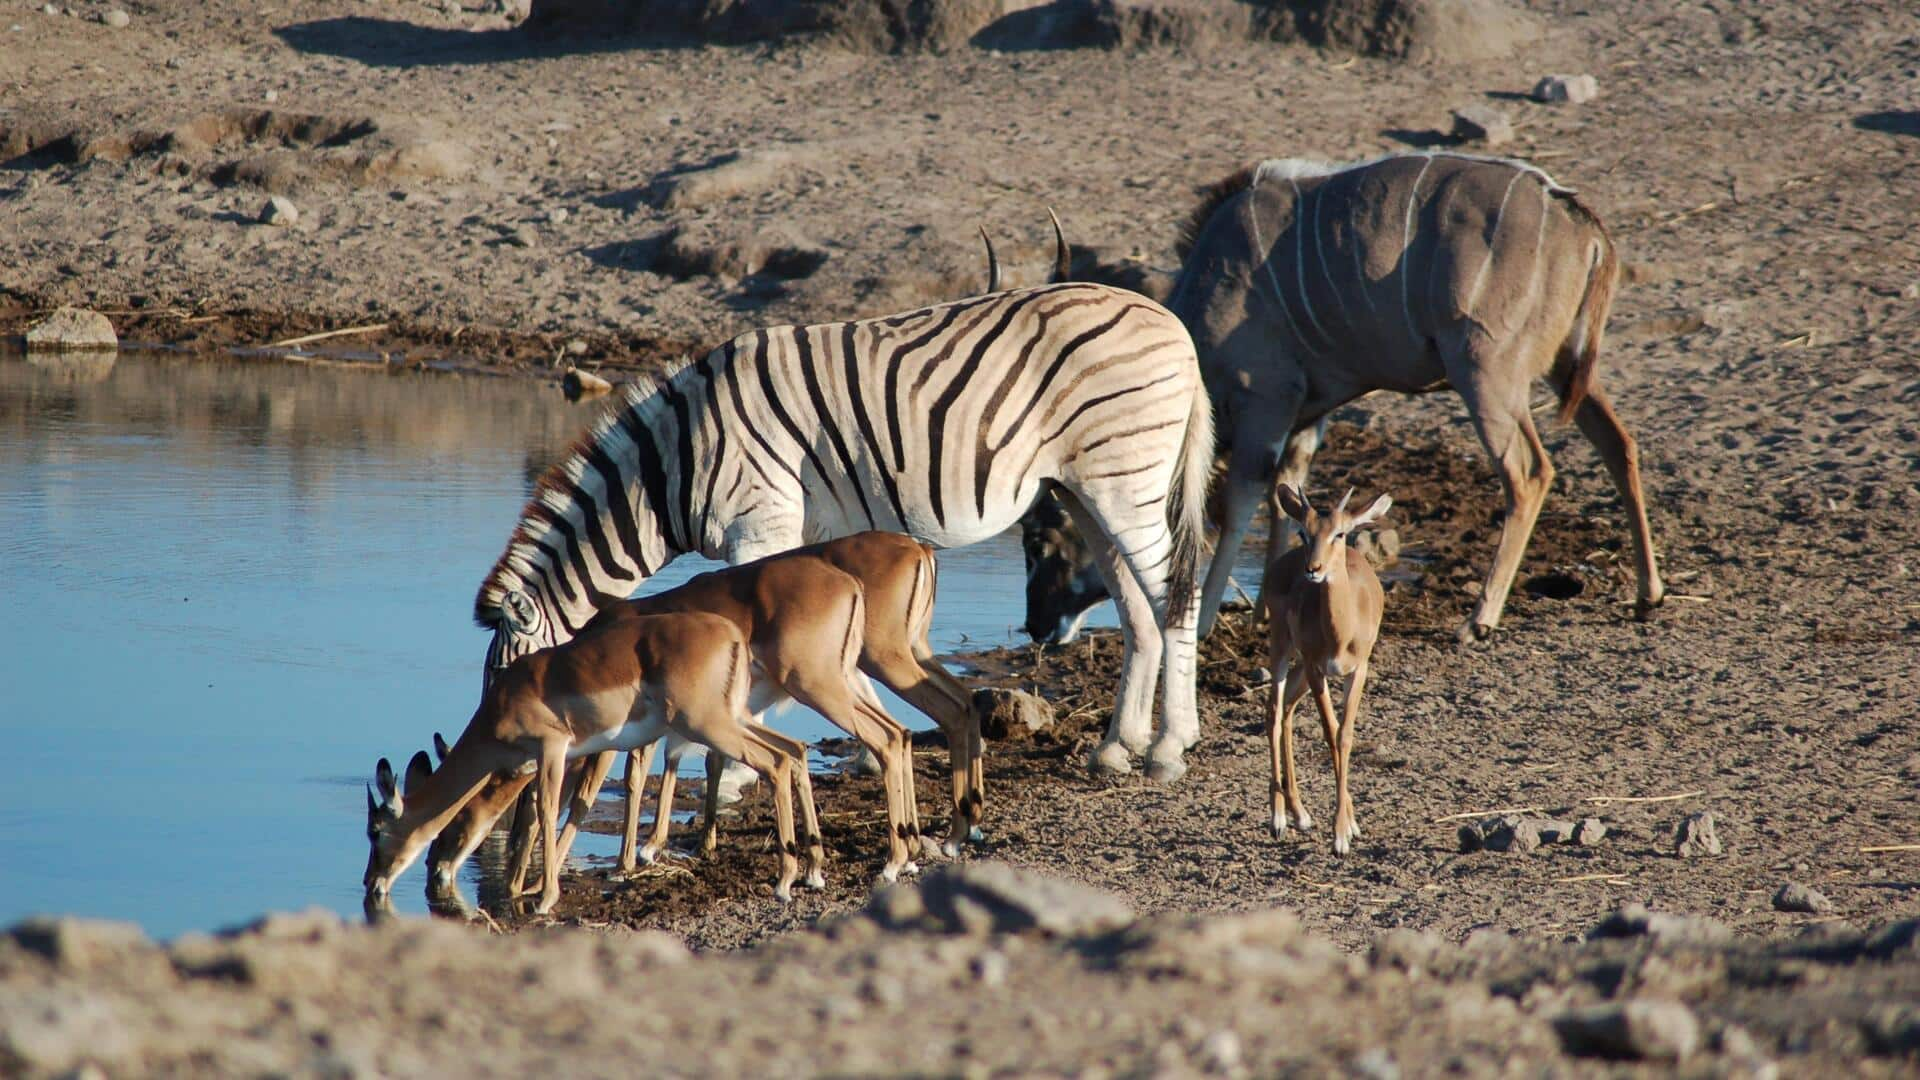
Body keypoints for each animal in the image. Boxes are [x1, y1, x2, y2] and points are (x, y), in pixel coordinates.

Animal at [472, 278, 1205, 780]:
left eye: (507, 686)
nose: (501, 769)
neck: (670, 468)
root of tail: (1173, 323)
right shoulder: (790, 532)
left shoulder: (759, 522)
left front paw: (736, 771)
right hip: (1087, 490)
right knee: (1136, 606)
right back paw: (1118, 746)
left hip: (1126, 478)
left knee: (1175, 596)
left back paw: (1172, 746)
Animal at [1021, 152, 1666, 645]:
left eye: (1041, 538)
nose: (1035, 627)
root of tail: (1578, 218)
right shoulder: (1307, 416)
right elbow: (1288, 494)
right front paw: (1267, 605)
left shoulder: (1267, 401)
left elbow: (1241, 501)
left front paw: (1203, 625)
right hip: (1561, 368)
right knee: (1621, 444)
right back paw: (1647, 594)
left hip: (1486, 371)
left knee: (1530, 472)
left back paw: (1478, 620)